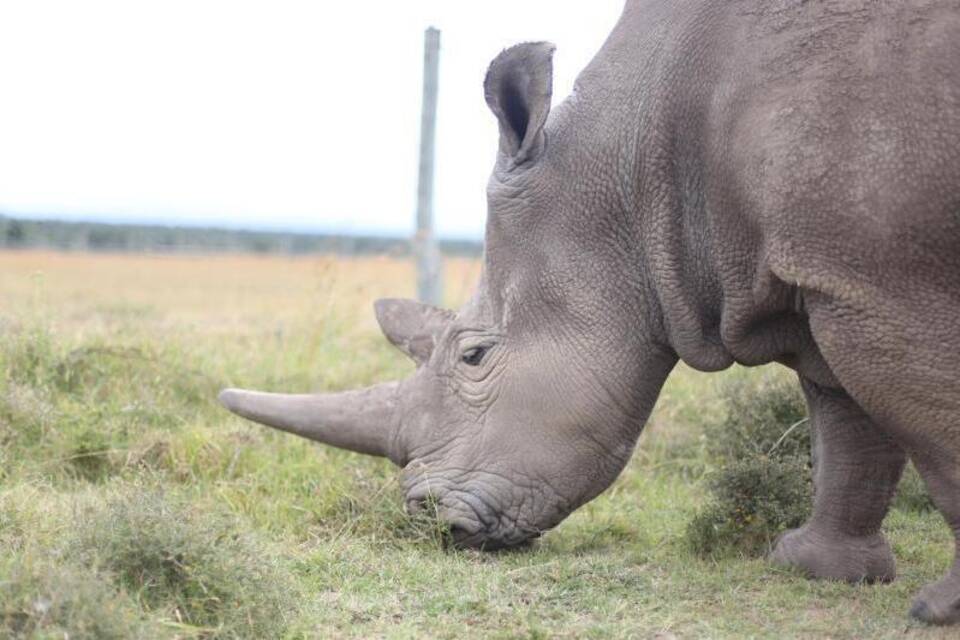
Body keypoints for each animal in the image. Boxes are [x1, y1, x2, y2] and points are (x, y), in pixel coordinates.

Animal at [221, 0, 960, 624]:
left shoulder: (875, 271)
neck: (636, 175)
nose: (427, 522)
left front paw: (936, 610)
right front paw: (813, 567)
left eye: (474, 356)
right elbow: (846, 421)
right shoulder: (827, 272)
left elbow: (925, 418)